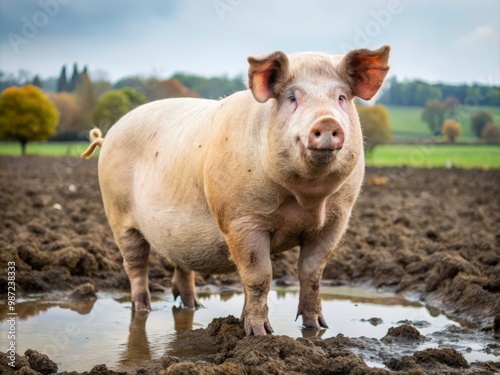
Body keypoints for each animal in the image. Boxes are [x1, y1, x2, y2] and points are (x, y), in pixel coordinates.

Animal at [82, 45, 390, 336]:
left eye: (341, 98)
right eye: (292, 98)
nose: (327, 121)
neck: (306, 199)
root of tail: (108, 136)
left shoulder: (337, 219)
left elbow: (312, 273)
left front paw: (317, 328)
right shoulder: (241, 220)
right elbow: (259, 276)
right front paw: (260, 333)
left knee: (181, 265)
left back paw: (194, 306)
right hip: (118, 215)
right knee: (136, 265)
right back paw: (143, 308)